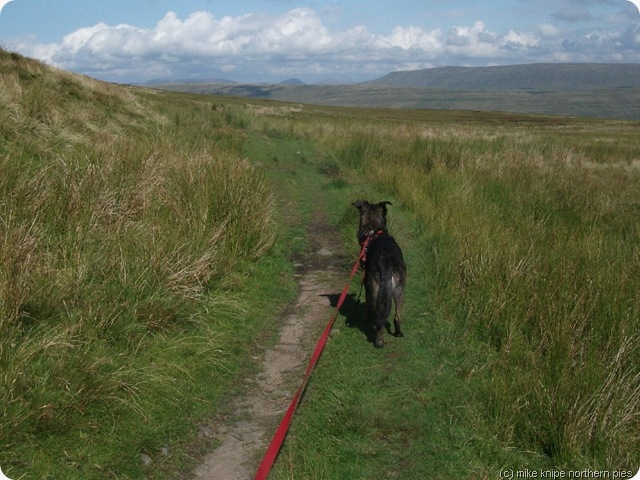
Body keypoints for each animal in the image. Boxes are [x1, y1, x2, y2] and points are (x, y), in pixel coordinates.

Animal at [352, 200, 408, 348]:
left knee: (379, 318)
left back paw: (379, 340)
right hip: (400, 291)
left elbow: (368, 305)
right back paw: (398, 333)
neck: (374, 230)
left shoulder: (367, 282)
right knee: (396, 317)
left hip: (375, 288)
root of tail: (387, 263)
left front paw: (366, 319)